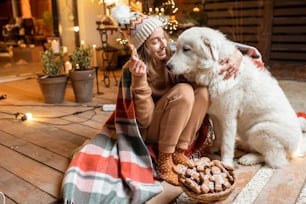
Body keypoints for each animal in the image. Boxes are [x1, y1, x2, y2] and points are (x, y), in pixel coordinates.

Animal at [166, 26, 302, 168]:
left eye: (186, 49)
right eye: (177, 48)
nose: (167, 66)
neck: (215, 69)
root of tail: (296, 148)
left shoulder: (228, 118)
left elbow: (226, 143)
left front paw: (226, 162)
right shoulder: (216, 115)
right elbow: (218, 136)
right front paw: (214, 148)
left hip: (259, 130)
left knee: (273, 158)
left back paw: (248, 158)